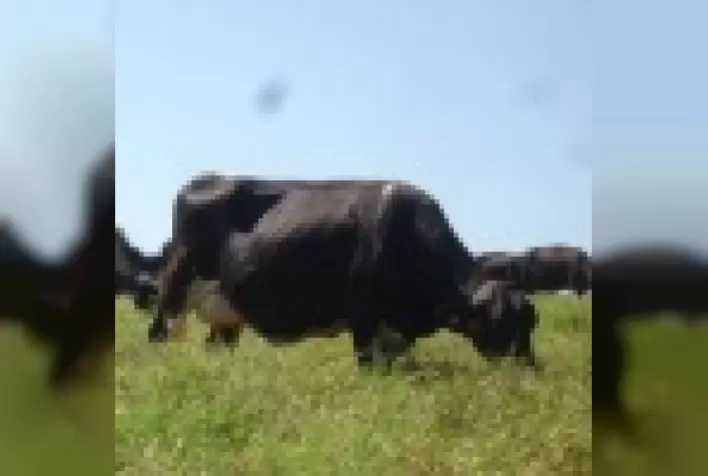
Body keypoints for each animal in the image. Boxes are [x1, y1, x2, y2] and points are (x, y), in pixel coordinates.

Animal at [147, 175, 541, 369]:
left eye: (530, 324)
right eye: (501, 324)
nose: (530, 369)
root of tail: (206, 178)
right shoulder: (363, 315)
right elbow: (367, 363)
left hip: (226, 309)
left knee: (217, 346)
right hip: (174, 289)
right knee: (160, 334)